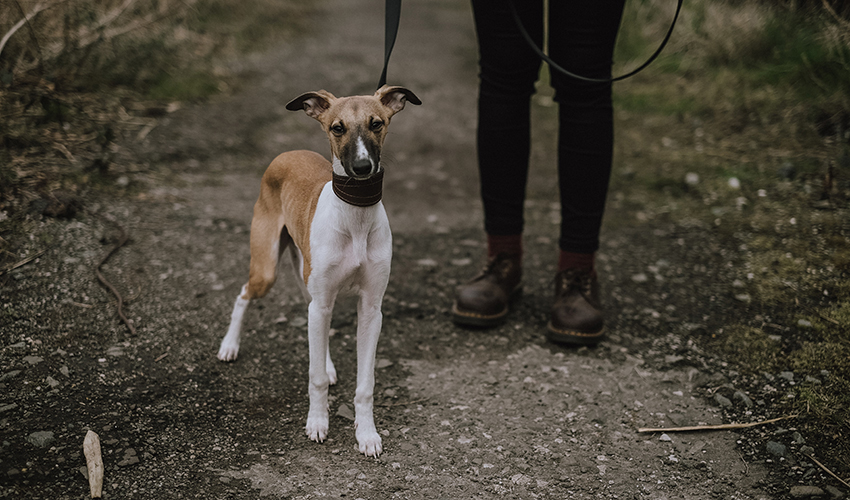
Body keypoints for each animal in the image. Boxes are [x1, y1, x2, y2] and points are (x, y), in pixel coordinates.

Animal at [217, 86, 420, 458]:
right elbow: (315, 378)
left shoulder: (371, 309)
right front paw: (317, 423)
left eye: (377, 123)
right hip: (267, 270)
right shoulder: (323, 299)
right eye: (337, 128)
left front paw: (366, 434)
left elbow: (365, 383)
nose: (362, 167)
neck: (355, 216)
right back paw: (229, 345)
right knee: (244, 294)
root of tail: (288, 152)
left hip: (310, 283)